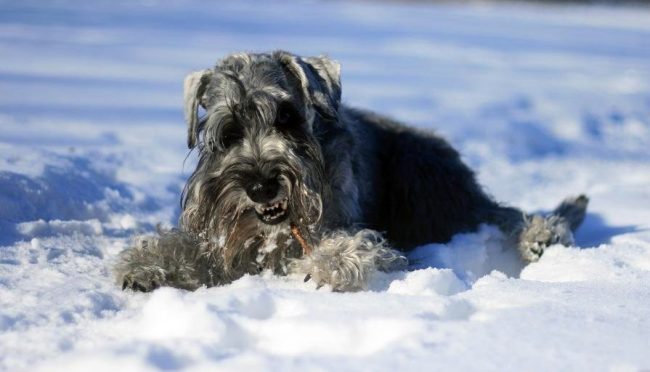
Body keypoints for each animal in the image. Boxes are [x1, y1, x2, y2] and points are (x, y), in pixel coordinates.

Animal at [115, 50, 588, 292]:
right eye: (228, 132)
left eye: (287, 117)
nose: (262, 186)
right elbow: (187, 246)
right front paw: (147, 265)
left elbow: (355, 244)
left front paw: (331, 264)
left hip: (432, 196)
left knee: (500, 214)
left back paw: (542, 236)